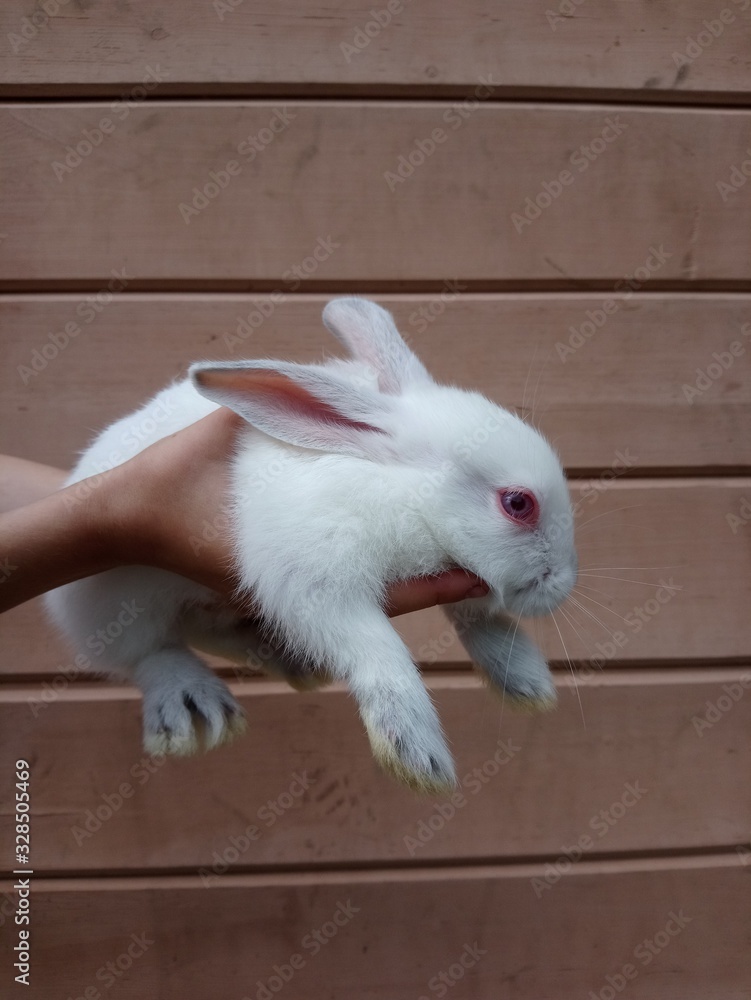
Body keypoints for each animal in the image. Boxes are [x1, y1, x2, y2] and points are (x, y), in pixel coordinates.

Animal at [45, 297, 577, 793]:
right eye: (518, 503)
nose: (564, 585)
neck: (400, 490)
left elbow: (476, 618)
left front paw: (526, 678)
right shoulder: (315, 580)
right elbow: (378, 650)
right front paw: (417, 755)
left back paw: (291, 662)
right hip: (116, 605)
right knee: (151, 652)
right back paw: (191, 701)